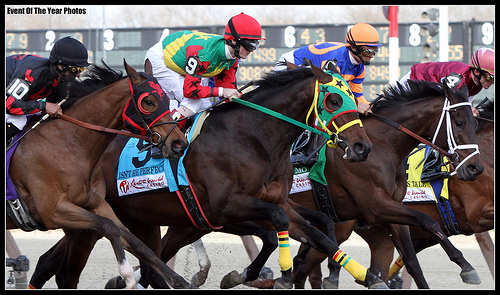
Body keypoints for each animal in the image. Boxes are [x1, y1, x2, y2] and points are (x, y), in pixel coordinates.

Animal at [6, 60, 190, 290]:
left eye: (166, 98)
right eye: (148, 101)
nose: (179, 143)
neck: (69, 142)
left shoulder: (98, 206)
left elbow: (138, 244)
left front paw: (179, 280)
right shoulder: (53, 212)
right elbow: (108, 227)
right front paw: (127, 276)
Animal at [28, 61, 382, 290]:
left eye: (353, 96)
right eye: (333, 99)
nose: (362, 147)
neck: (253, 137)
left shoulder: (273, 203)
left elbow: (320, 234)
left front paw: (368, 277)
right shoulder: (226, 207)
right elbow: (278, 226)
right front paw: (277, 276)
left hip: (132, 219)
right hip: (84, 216)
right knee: (61, 268)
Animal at [290, 77, 484, 290]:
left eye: (475, 123)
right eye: (459, 123)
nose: (475, 168)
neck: (382, 144)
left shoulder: (393, 209)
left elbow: (413, 261)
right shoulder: (376, 206)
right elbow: (429, 221)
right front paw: (466, 266)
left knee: (302, 263)